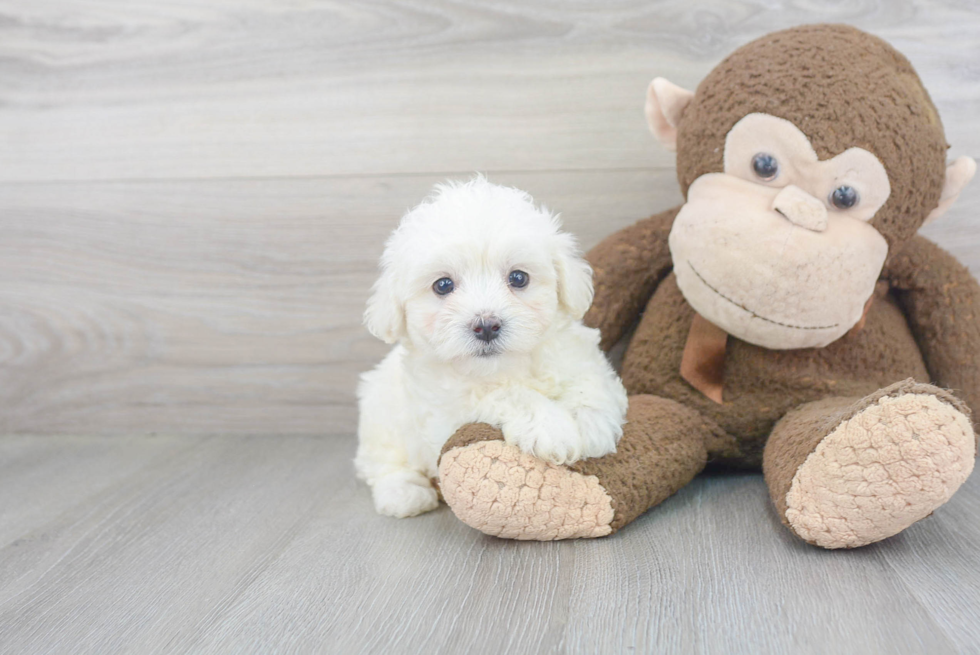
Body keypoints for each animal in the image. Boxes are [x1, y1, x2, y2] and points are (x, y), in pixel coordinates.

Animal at [356, 178, 624, 516]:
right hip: (380, 418)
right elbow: (507, 395)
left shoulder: (576, 355)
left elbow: (589, 380)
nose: (486, 325)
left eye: (518, 278)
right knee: (382, 463)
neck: (506, 367)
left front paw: (591, 424)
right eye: (443, 285)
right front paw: (552, 428)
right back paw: (404, 493)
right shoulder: (446, 411)